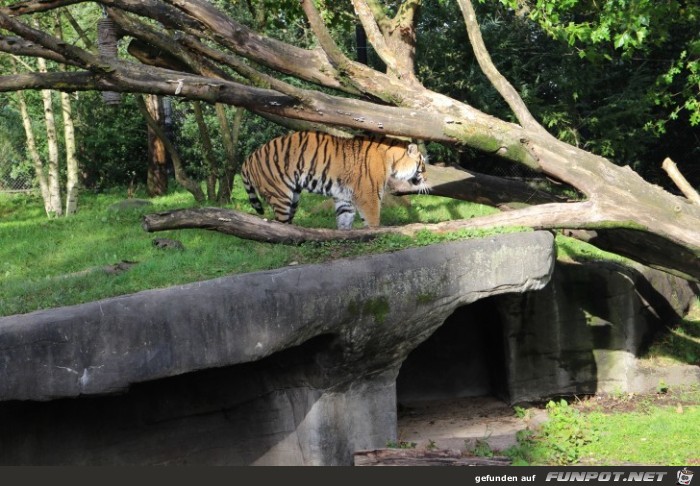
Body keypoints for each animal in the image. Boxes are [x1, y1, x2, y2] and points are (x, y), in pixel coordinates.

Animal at [239, 130, 426, 229]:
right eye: (423, 164)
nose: (425, 176)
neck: (391, 160)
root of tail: (249, 157)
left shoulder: (344, 197)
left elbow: (345, 220)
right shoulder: (369, 196)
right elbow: (373, 221)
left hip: (293, 198)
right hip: (280, 194)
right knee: (280, 224)